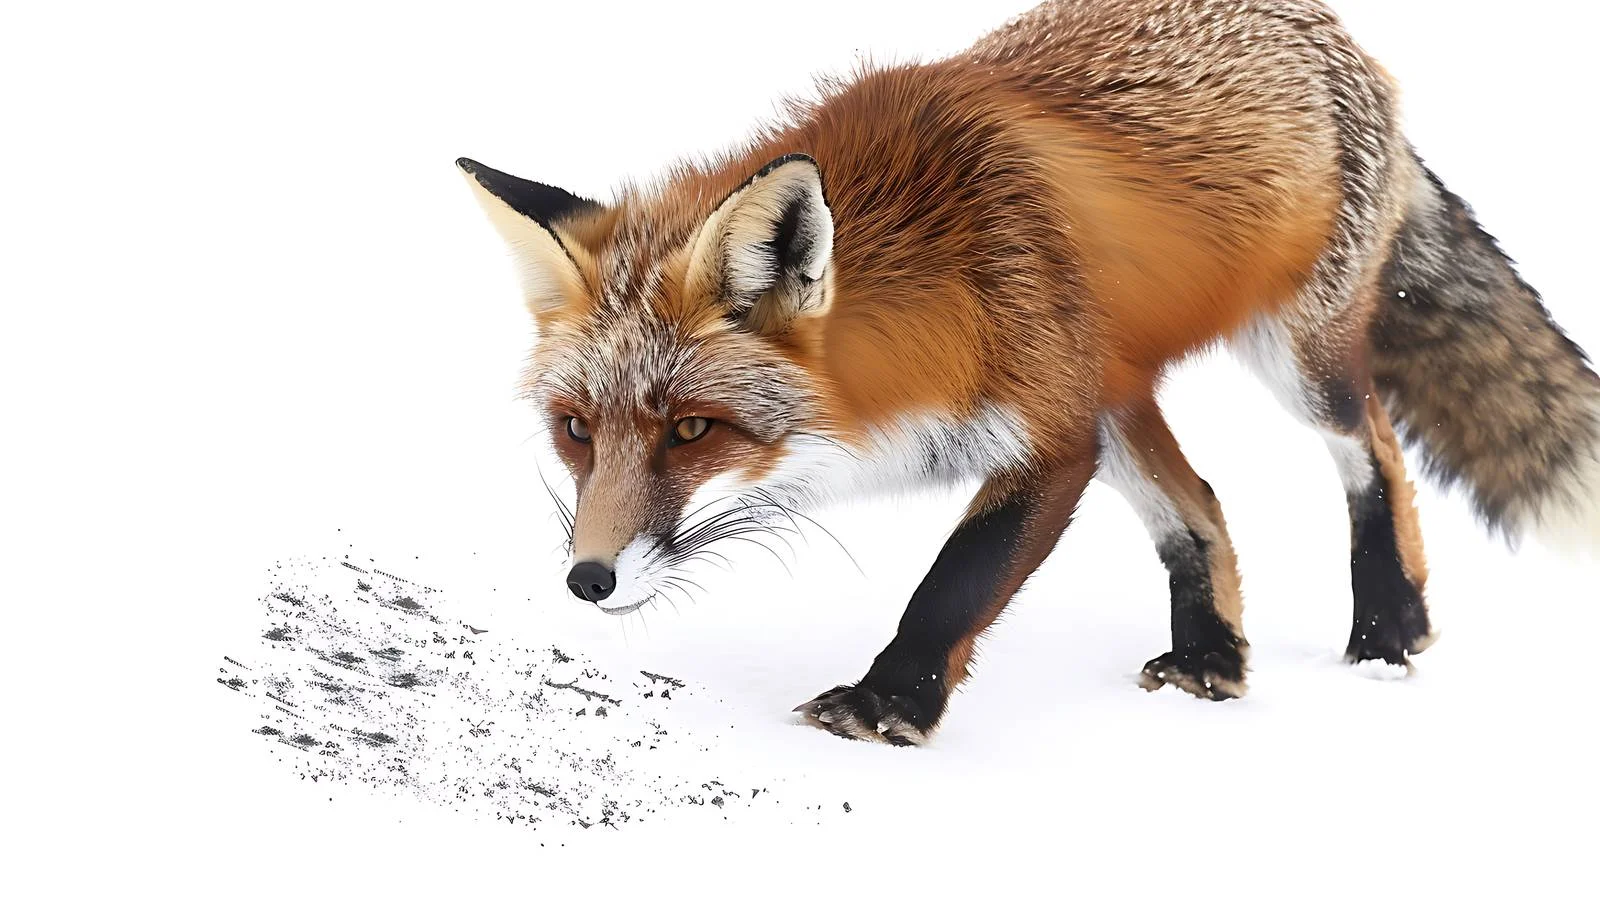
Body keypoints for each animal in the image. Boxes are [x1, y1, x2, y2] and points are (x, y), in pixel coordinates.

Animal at [458, 0, 1600, 745]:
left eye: (692, 429)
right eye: (575, 429)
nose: (588, 578)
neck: (939, 280)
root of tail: (1330, 30)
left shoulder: (1050, 436)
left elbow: (952, 583)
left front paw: (887, 705)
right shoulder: (1070, 417)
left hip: (1293, 363)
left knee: (1374, 453)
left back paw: (1386, 626)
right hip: (1119, 393)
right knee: (1204, 505)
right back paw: (1212, 661)